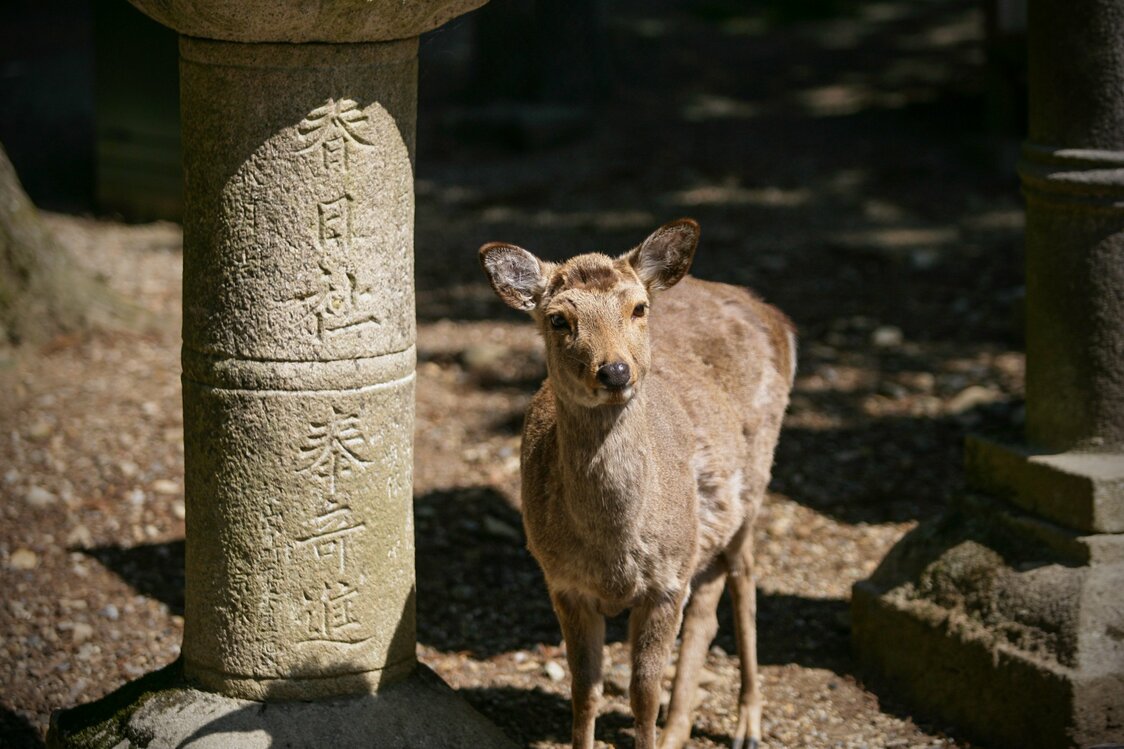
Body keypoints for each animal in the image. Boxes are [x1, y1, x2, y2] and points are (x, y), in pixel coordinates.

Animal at [478, 218, 795, 749]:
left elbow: (643, 693)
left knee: (744, 579)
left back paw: (748, 724)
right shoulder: (562, 581)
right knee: (707, 604)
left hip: (757, 480)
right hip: (705, 529)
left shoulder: (664, 584)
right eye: (558, 319)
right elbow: (585, 690)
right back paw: (679, 729)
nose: (614, 370)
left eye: (638, 308)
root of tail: (775, 315)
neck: (613, 552)